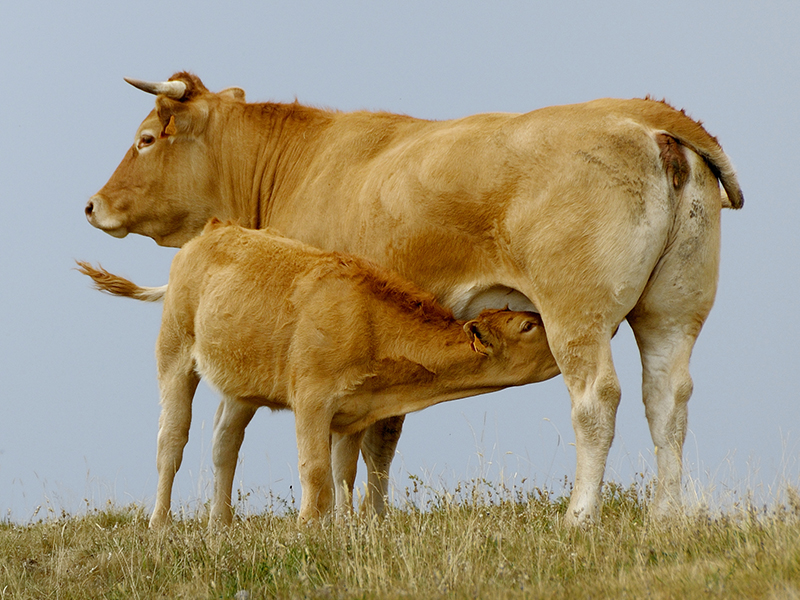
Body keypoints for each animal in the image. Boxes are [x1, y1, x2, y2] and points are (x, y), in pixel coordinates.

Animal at [78, 220, 560, 524]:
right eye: (527, 326)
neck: (372, 323)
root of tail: (213, 230)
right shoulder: (312, 401)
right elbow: (315, 471)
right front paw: (309, 528)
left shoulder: (355, 410)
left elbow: (342, 473)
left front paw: (343, 528)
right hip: (175, 355)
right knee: (171, 441)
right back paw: (159, 525)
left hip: (241, 387)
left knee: (224, 445)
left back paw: (221, 525)